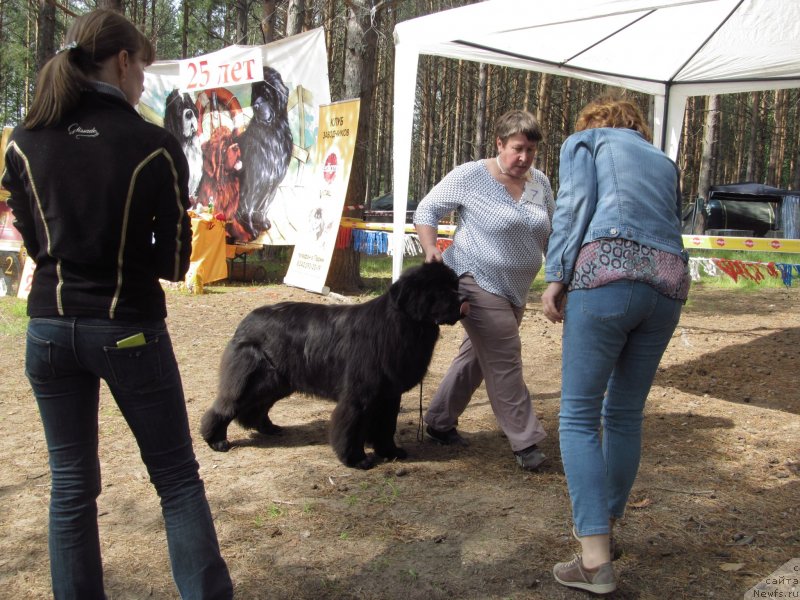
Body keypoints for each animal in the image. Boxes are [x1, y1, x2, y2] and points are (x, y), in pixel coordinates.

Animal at [202, 262, 468, 468]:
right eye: (438, 289)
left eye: (454, 286)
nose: (464, 299)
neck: (403, 324)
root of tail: (246, 320)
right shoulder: (360, 395)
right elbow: (352, 427)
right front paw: (356, 459)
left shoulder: (389, 395)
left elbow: (386, 425)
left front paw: (390, 452)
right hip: (257, 378)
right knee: (226, 406)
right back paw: (216, 440)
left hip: (278, 382)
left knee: (256, 406)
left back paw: (268, 428)